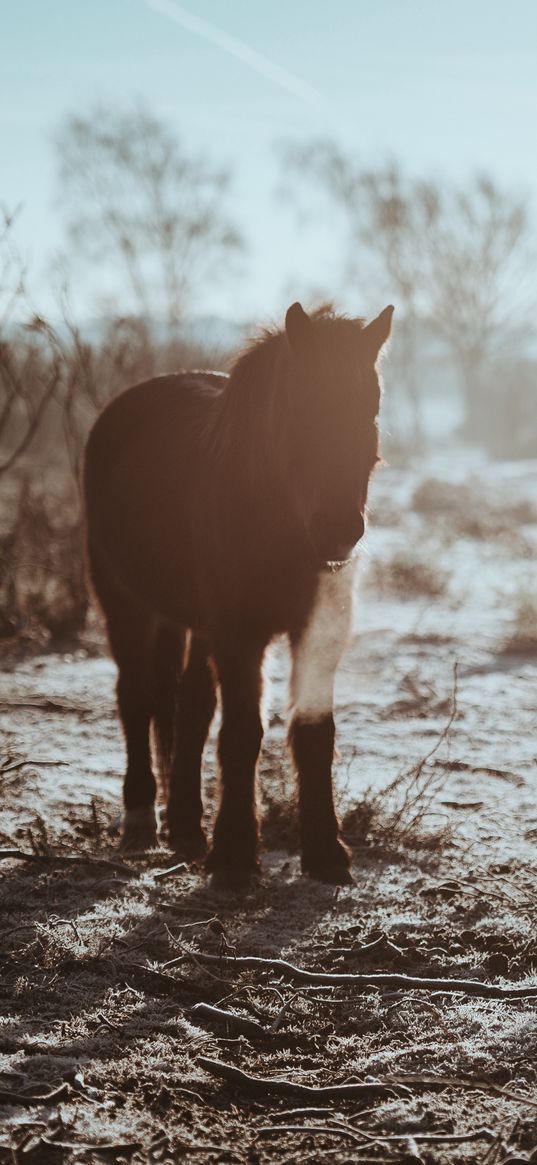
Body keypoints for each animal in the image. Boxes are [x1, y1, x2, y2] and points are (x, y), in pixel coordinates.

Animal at [83, 300, 393, 880]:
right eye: (300, 405)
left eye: (371, 406)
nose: (338, 529)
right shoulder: (239, 633)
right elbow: (242, 733)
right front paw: (233, 855)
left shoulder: (317, 630)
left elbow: (313, 733)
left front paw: (325, 852)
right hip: (125, 604)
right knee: (136, 697)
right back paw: (140, 821)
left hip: (192, 622)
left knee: (189, 705)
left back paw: (185, 827)